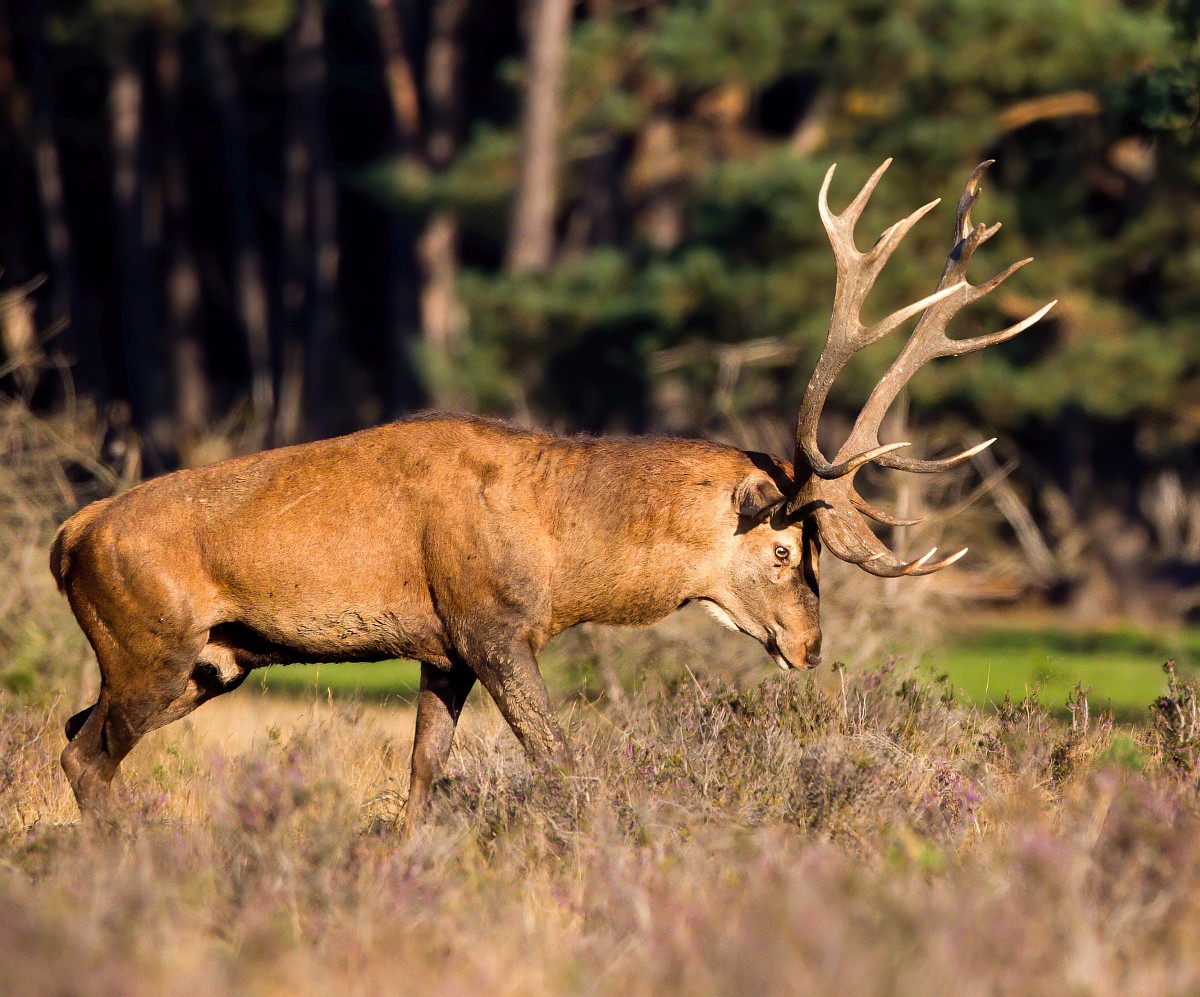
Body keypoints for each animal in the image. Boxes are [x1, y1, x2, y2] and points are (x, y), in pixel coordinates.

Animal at [52, 160, 1053, 828]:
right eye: (782, 549)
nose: (811, 647)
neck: (566, 556)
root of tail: (69, 535)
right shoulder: (492, 628)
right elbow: (564, 765)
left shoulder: (443, 651)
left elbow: (422, 782)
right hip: (151, 643)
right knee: (87, 755)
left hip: (214, 659)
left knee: (70, 730)